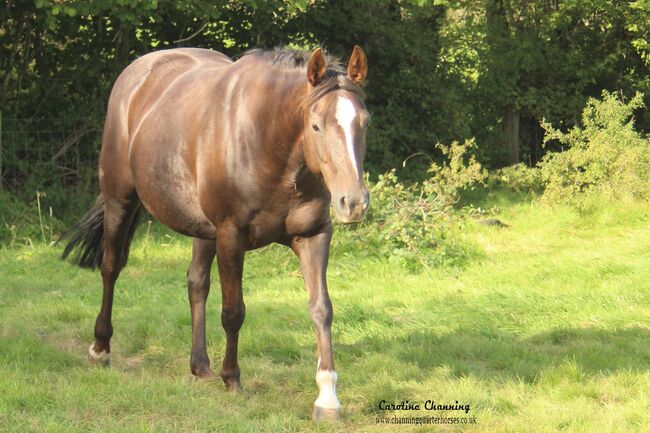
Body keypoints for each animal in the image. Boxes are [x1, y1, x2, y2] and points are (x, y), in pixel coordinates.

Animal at [62, 45, 370, 420]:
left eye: (365, 122)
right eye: (316, 125)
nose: (353, 202)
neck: (268, 144)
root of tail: (137, 72)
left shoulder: (313, 236)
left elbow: (321, 309)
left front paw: (327, 397)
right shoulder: (230, 236)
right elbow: (233, 311)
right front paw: (232, 378)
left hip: (201, 230)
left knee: (196, 283)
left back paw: (200, 365)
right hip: (120, 200)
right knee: (111, 267)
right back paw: (101, 348)